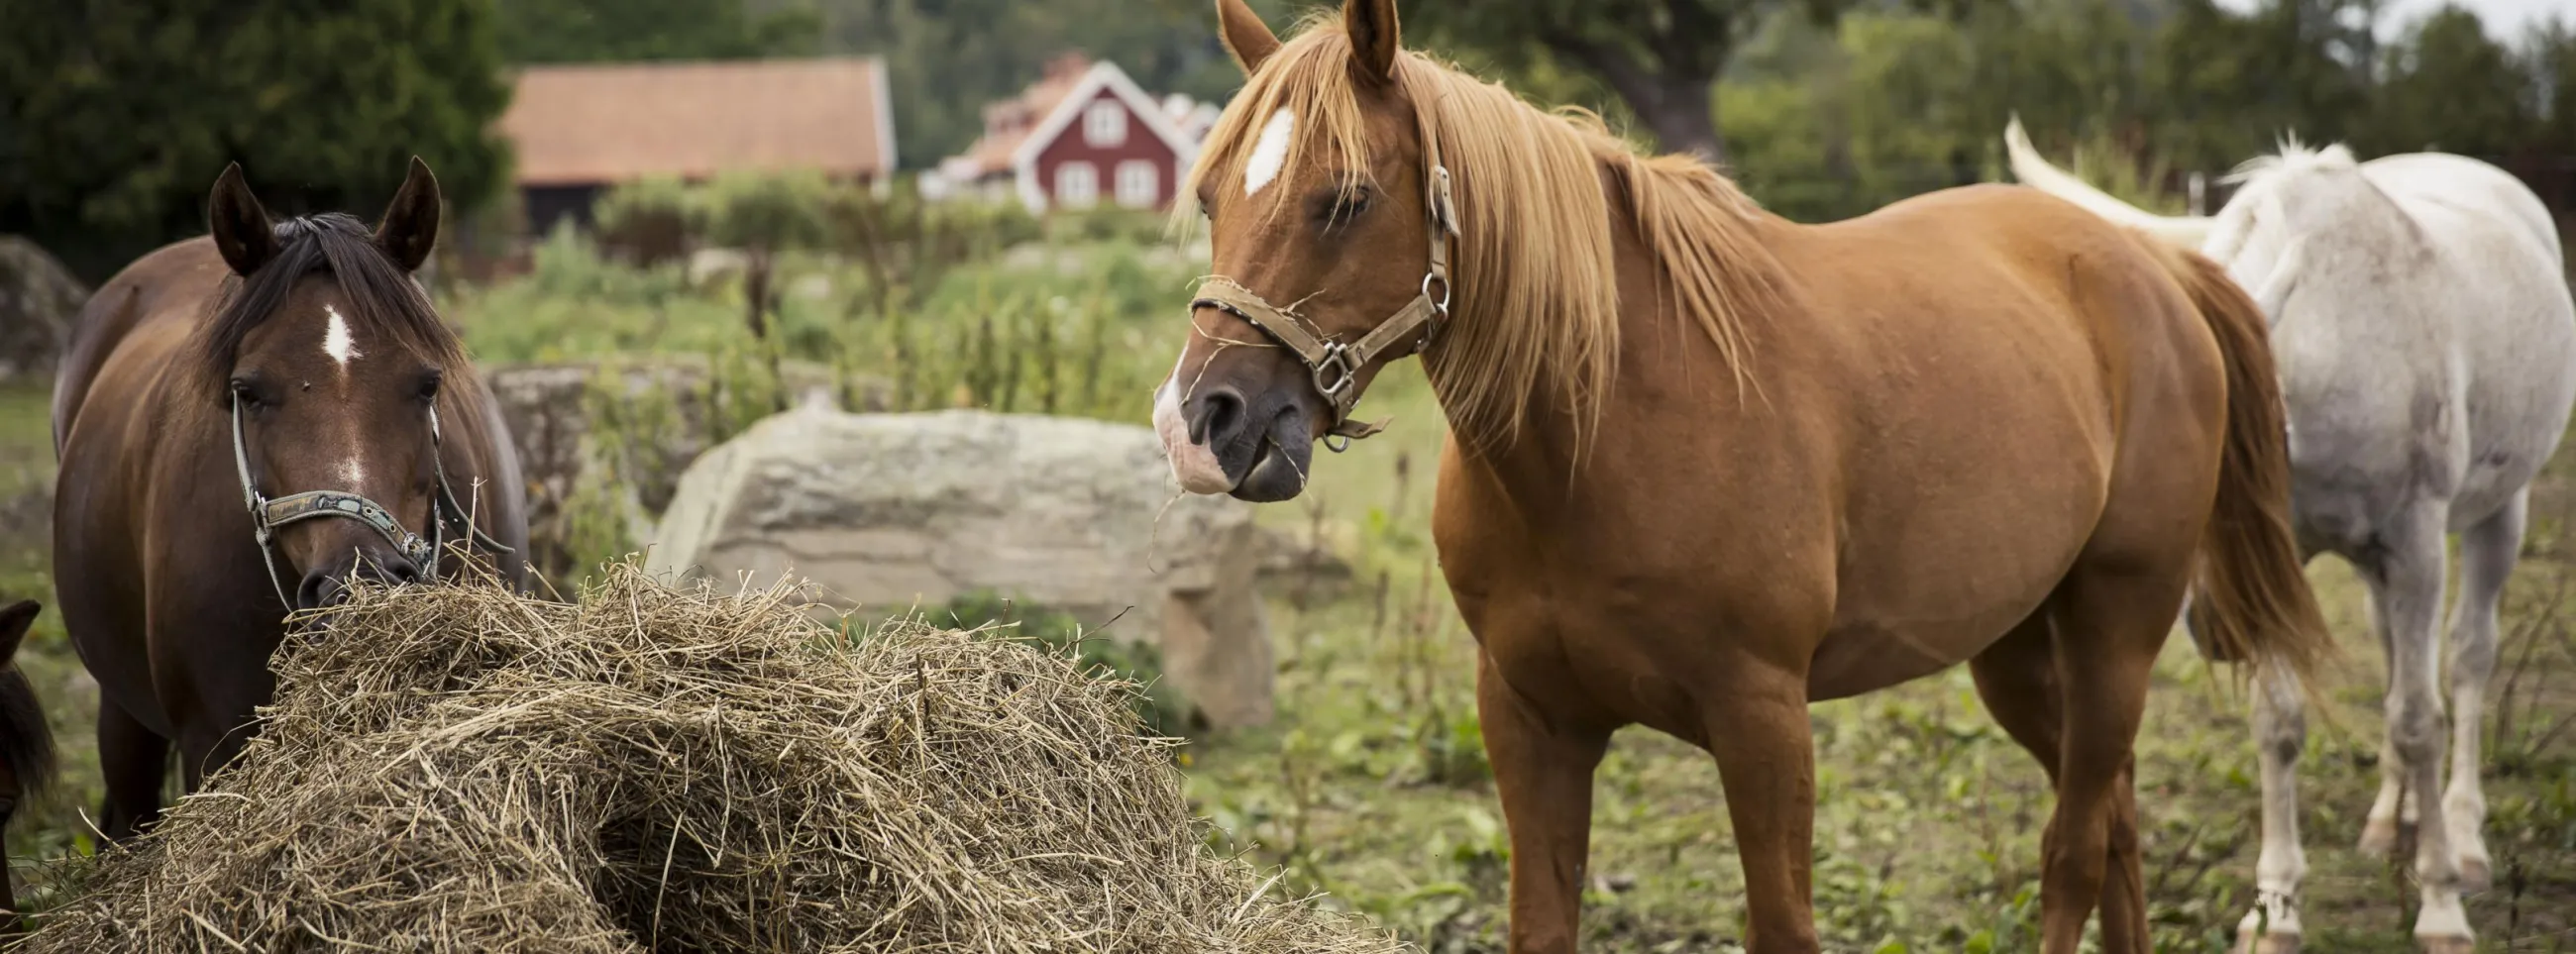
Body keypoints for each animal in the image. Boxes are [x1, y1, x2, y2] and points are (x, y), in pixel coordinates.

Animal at [1151, 2, 2337, 951]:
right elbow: (1542, 920)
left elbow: (1783, 923)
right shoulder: (1529, 720)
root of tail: (2158, 266)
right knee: (2118, 826)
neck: (1603, 436)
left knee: (2074, 852)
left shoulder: (1763, 722)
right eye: (1211, 196)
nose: (1199, 423)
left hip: (2114, 630)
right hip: (2018, 654)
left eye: (1345, 198)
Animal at [2008, 120, 2576, 954]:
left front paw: (2440, 905)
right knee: (2397, 654)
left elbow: (2419, 720)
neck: (2331, 349)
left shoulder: (2413, 539)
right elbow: (2281, 724)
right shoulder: (2284, 564)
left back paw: (2465, 838)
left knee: (2468, 660)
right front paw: (2275, 907)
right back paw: (2391, 817)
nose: (2213, 629)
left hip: (2498, 513)